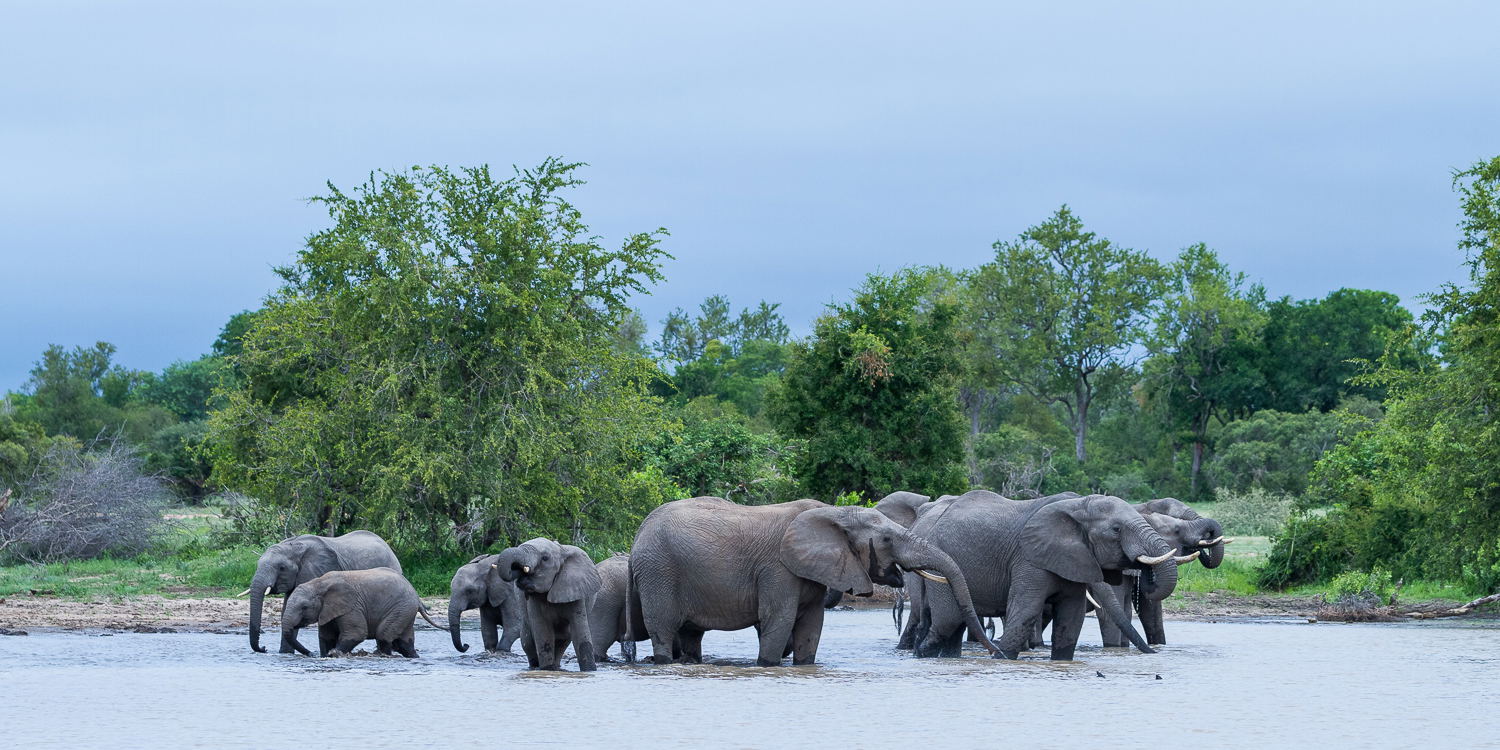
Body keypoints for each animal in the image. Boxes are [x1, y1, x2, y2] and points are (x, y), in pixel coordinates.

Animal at [279, 567, 447, 657]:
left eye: (304, 607)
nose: (310, 654)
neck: (319, 583)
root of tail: (417, 598)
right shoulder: (327, 610)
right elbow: (326, 637)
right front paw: (325, 655)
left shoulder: (351, 607)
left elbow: (357, 633)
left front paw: (334, 654)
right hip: (406, 610)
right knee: (404, 642)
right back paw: (413, 656)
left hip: (401, 608)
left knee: (383, 635)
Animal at [496, 538, 603, 672]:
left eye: (545, 558)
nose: (518, 569)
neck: (560, 550)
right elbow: (543, 632)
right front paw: (547, 669)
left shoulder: (575, 590)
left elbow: (580, 633)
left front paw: (589, 671)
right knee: (528, 640)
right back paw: (536, 667)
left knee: (563, 639)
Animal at [627, 496, 1001, 667]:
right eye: (886, 540)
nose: (996, 654)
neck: (834, 512)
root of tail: (637, 537)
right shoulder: (777, 569)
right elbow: (778, 621)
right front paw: (768, 666)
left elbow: (812, 624)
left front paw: (804, 666)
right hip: (659, 572)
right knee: (664, 630)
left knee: (691, 634)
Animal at [906, 490, 1180, 660]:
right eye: (1116, 530)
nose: (1142, 568)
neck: (1078, 506)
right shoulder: (1028, 558)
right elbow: (1026, 611)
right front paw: (1002, 659)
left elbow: (1071, 618)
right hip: (942, 565)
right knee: (947, 622)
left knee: (953, 627)